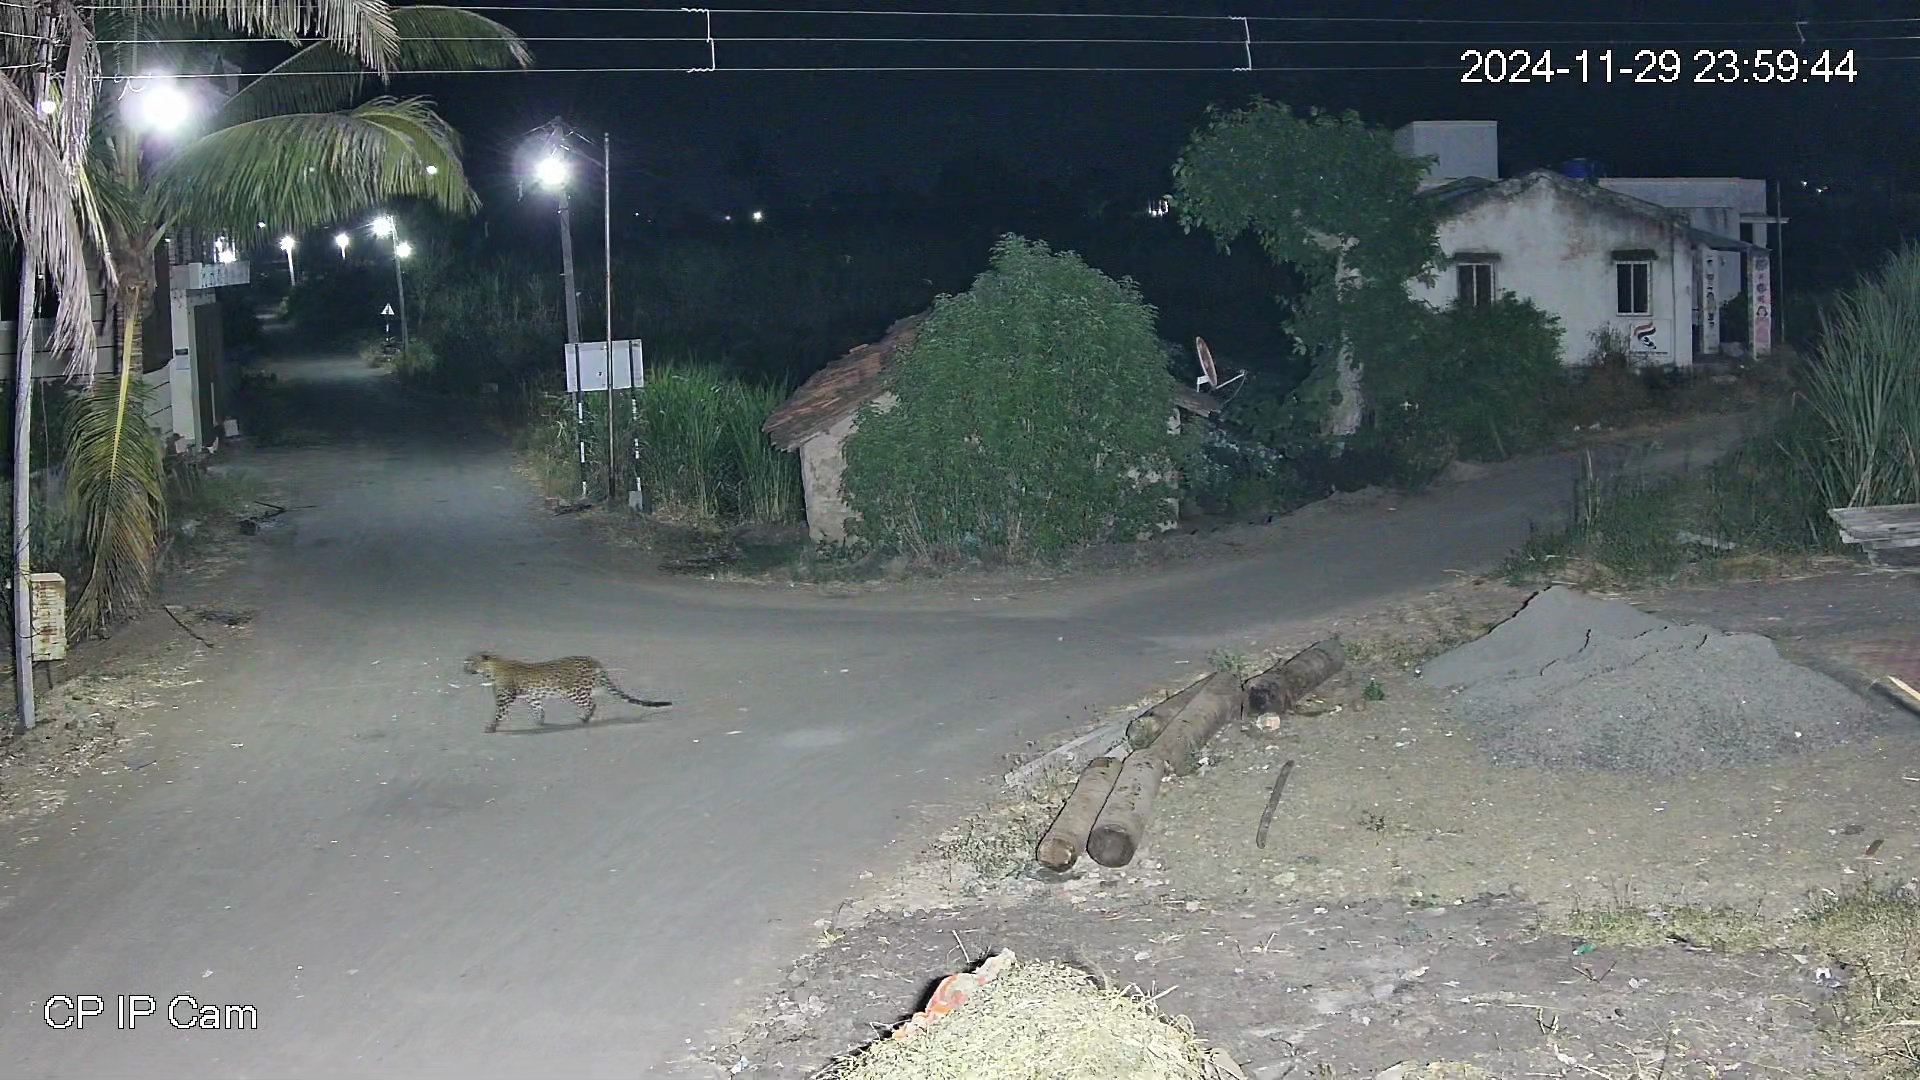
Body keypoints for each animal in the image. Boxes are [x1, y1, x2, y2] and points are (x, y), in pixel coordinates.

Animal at [463, 653, 672, 733]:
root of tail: (594, 661)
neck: (491, 669)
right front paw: (540, 722)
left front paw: (490, 727)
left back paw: (584, 719)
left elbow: (498, 714)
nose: (464, 669)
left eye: (470, 662)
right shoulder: (533, 697)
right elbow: (539, 709)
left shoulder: (504, 698)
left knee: (592, 703)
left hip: (574, 692)